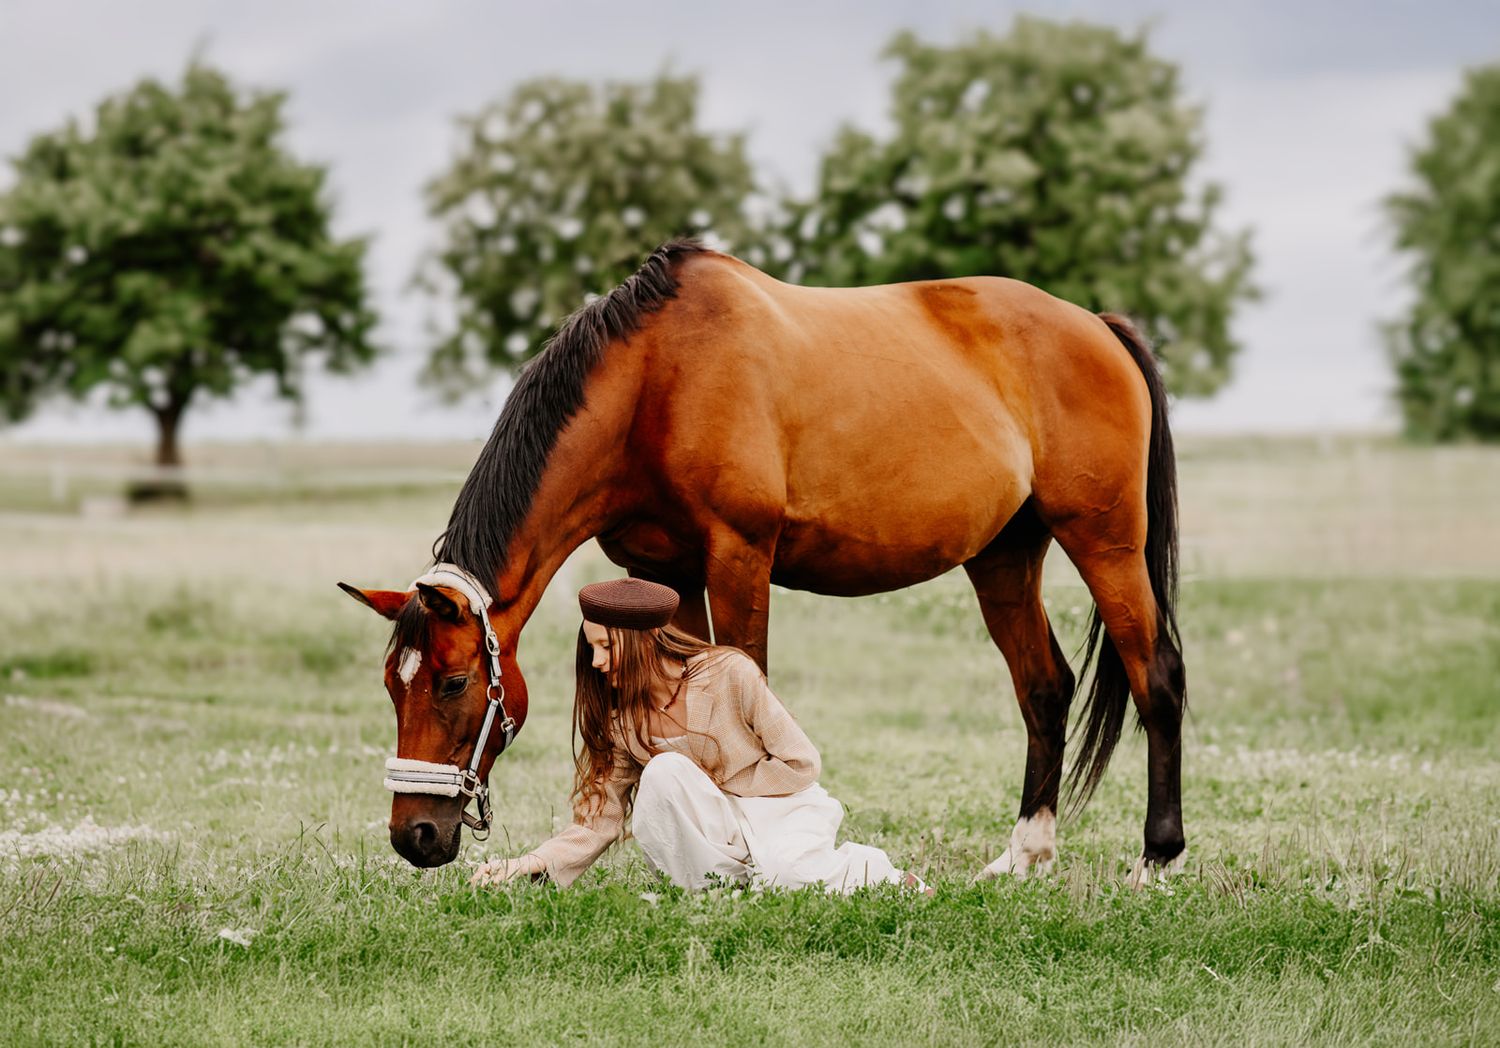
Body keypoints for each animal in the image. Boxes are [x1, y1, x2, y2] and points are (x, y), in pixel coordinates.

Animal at [341, 238, 1185, 884]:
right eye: (390, 684)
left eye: (454, 682)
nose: (414, 836)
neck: (654, 383)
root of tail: (1098, 325)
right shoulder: (666, 574)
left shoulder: (738, 556)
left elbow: (751, 684)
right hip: (1004, 558)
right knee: (1044, 689)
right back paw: (1025, 856)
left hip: (1105, 543)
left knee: (1157, 677)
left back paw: (1157, 860)